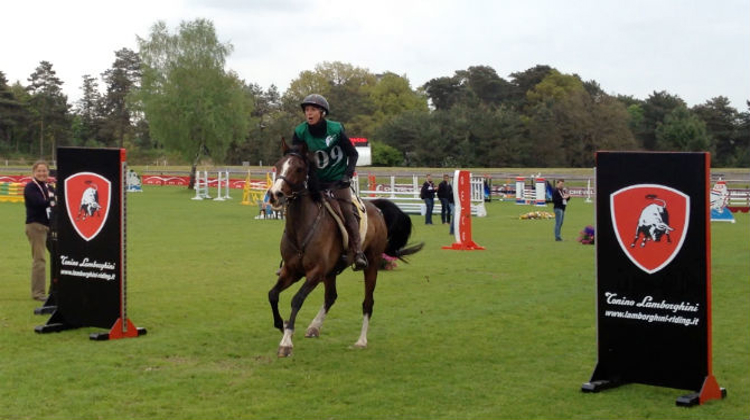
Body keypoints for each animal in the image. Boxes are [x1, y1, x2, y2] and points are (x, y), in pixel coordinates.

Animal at [268, 139, 426, 356]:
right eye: (278, 165)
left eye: (299, 168)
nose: (275, 194)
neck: (302, 228)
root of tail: (375, 207)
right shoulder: (292, 271)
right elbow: (273, 295)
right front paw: (280, 325)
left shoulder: (315, 273)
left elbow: (297, 299)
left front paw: (286, 341)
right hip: (331, 272)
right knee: (331, 296)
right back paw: (314, 327)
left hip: (371, 264)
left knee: (368, 302)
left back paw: (361, 340)